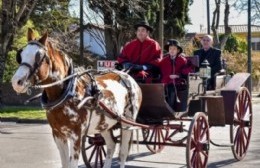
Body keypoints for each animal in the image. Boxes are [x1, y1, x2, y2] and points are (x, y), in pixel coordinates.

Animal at [11, 28, 142, 167]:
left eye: (39, 56)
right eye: (21, 55)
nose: (16, 82)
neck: (67, 93)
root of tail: (127, 75)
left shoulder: (76, 135)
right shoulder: (58, 134)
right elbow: (65, 163)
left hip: (127, 122)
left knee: (123, 153)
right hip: (104, 124)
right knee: (111, 145)